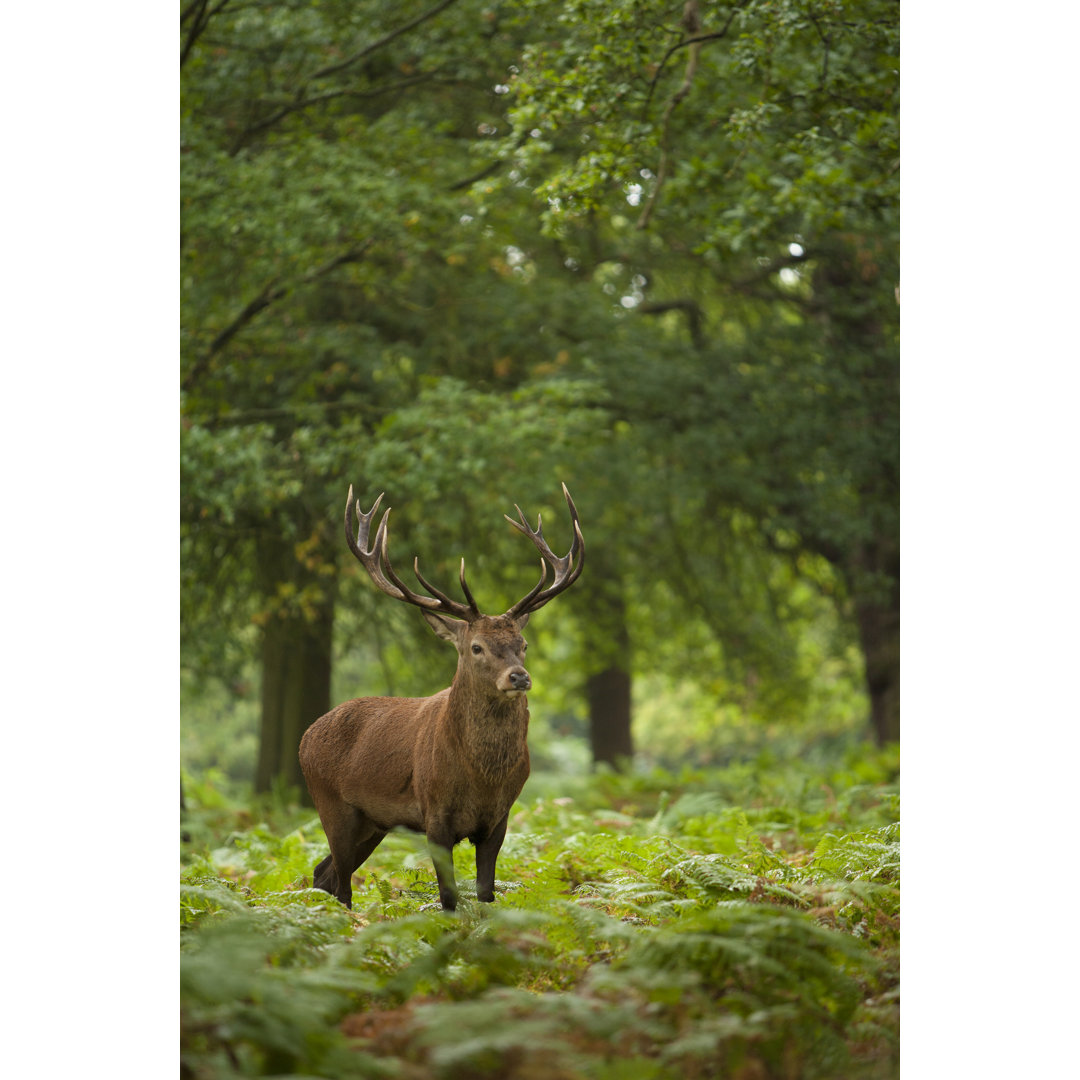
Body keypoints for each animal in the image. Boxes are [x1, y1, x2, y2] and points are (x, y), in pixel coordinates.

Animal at [298, 481, 583, 911]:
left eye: (523, 644)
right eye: (477, 647)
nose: (519, 677)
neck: (482, 779)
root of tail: (305, 737)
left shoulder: (499, 819)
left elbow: (485, 894)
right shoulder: (434, 815)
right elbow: (448, 897)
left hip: (372, 823)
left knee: (323, 872)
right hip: (332, 804)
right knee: (342, 885)